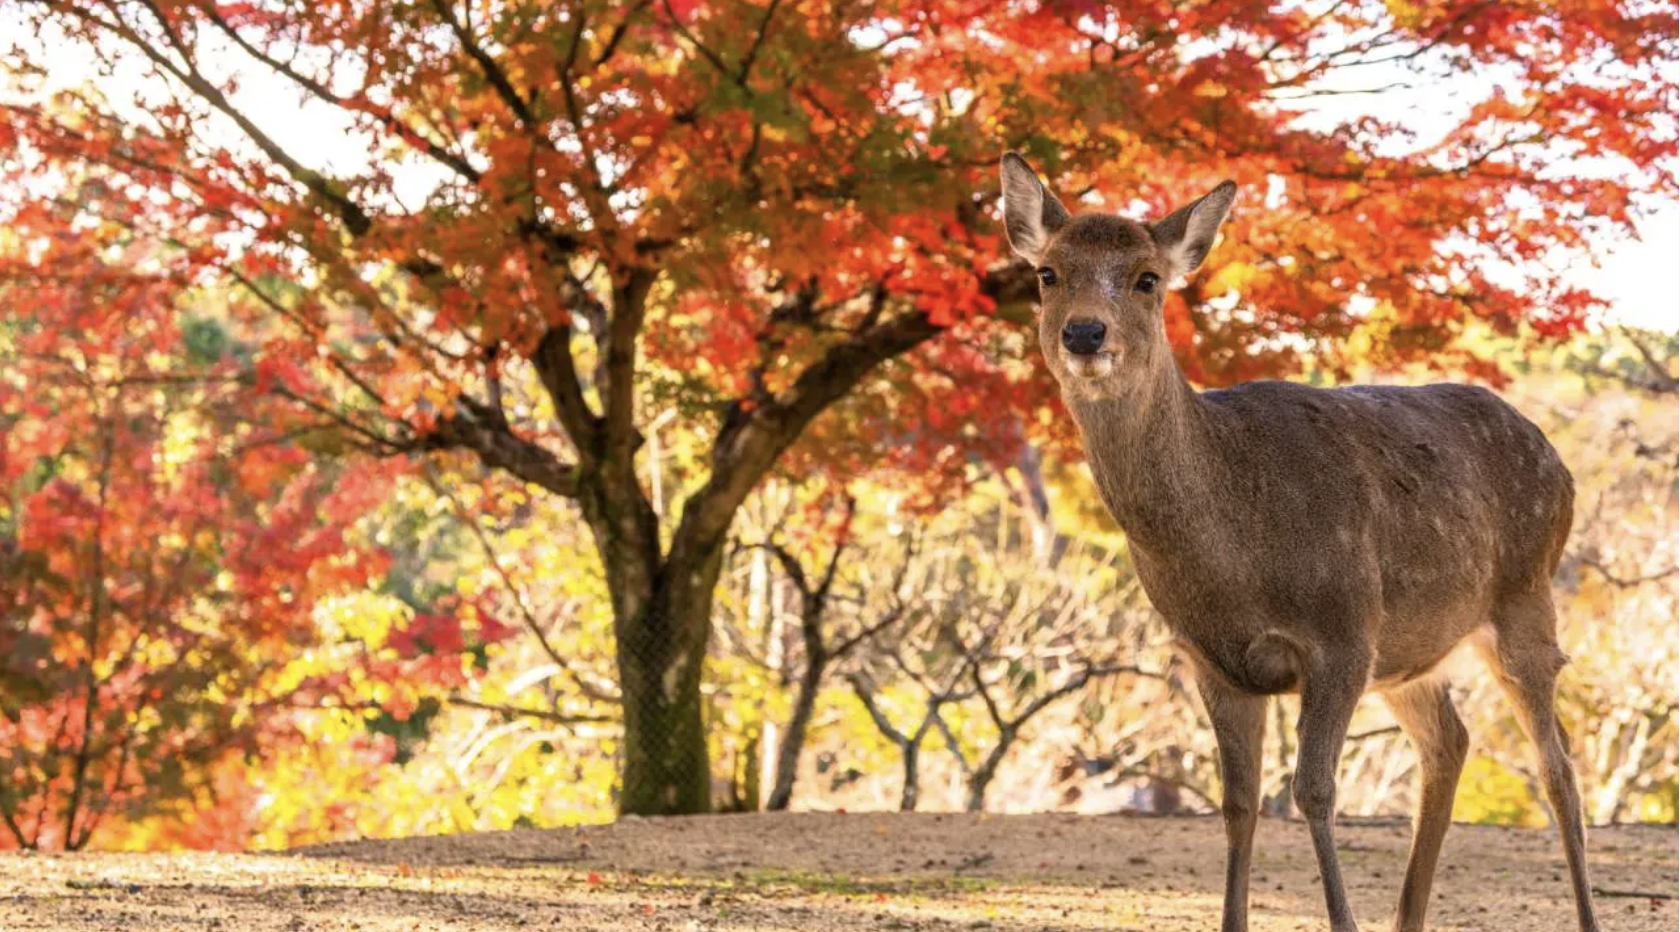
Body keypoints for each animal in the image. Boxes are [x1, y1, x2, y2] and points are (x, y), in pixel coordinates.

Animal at [994, 152, 1599, 932]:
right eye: (1048, 273)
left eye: (1148, 278)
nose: (1085, 333)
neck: (1235, 554)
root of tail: (1559, 463)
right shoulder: (1210, 660)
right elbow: (1237, 803)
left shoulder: (1341, 634)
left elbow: (1312, 790)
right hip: (1409, 651)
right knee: (1451, 741)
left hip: (1524, 595)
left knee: (1558, 767)